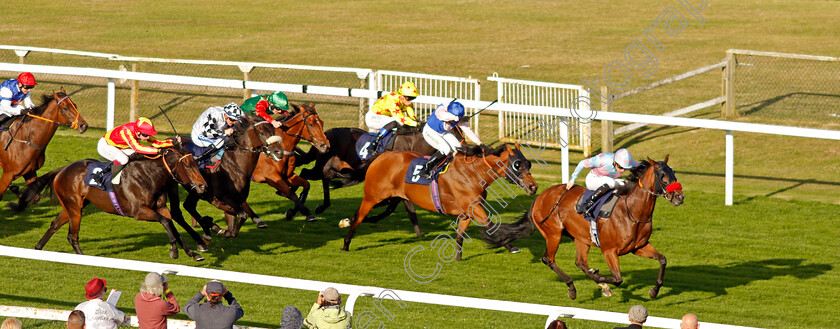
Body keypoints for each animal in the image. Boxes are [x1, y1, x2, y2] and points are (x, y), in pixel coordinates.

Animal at [342, 144, 540, 258]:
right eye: (517, 164)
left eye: (528, 163)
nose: (533, 187)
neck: (473, 173)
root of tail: (382, 156)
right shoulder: (475, 208)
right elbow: (491, 225)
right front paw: (511, 246)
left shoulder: (467, 212)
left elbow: (460, 235)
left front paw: (458, 258)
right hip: (373, 196)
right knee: (360, 216)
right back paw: (345, 244)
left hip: (391, 198)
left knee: (369, 214)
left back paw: (346, 221)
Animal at [482, 156, 684, 298]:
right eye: (663, 177)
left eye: (673, 173)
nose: (680, 197)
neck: (632, 211)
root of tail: (540, 196)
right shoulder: (609, 251)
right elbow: (618, 279)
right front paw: (601, 278)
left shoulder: (639, 247)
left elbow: (663, 260)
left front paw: (654, 290)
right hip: (553, 234)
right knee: (549, 259)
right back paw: (573, 287)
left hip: (580, 238)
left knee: (580, 262)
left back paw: (598, 284)